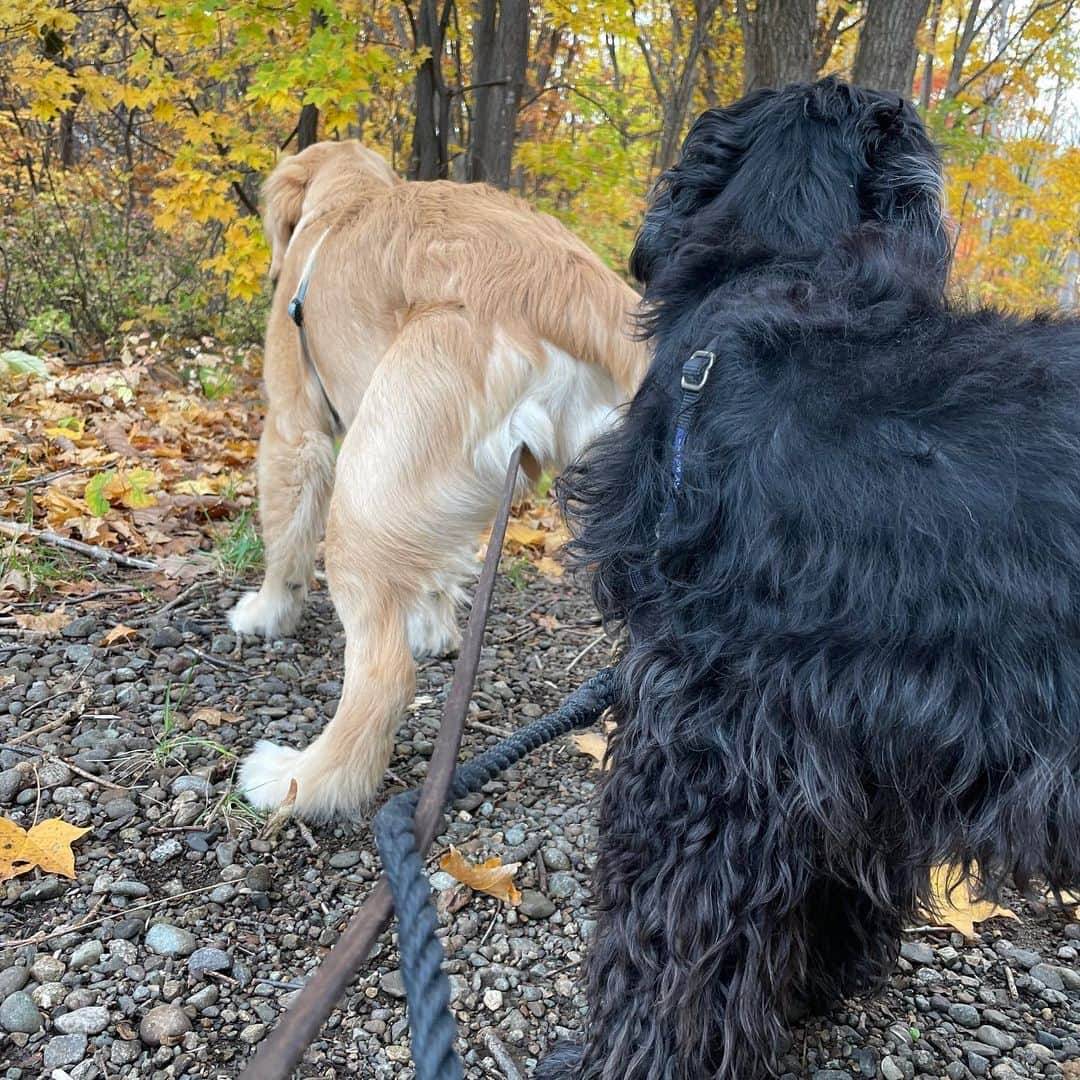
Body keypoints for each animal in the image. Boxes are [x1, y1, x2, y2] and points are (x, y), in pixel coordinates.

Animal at [231, 141, 643, 816]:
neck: (346, 201)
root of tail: (576, 290)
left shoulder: (294, 425)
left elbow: (284, 540)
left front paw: (268, 612)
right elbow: (437, 574)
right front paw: (434, 629)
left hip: (364, 493)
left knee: (384, 677)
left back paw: (301, 781)